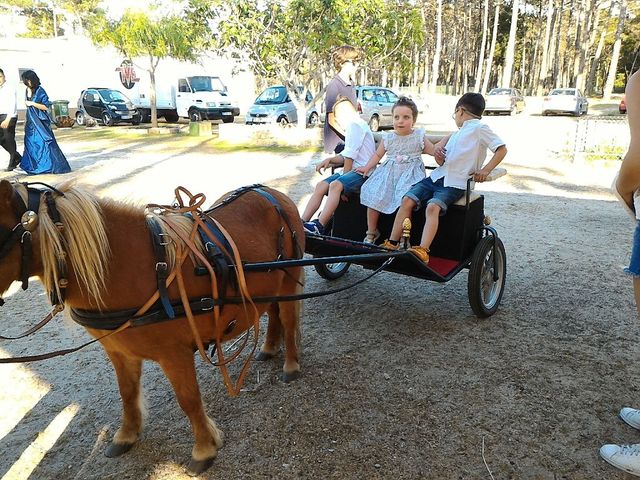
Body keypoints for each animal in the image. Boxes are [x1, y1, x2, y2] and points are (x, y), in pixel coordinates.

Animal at [0, 178, 304, 474]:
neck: (139, 270)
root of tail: (273, 193)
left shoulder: (174, 354)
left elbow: (188, 399)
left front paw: (204, 449)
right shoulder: (119, 351)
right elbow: (127, 392)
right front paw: (126, 435)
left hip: (290, 281)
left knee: (288, 321)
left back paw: (290, 364)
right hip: (271, 285)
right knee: (273, 312)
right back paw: (268, 347)